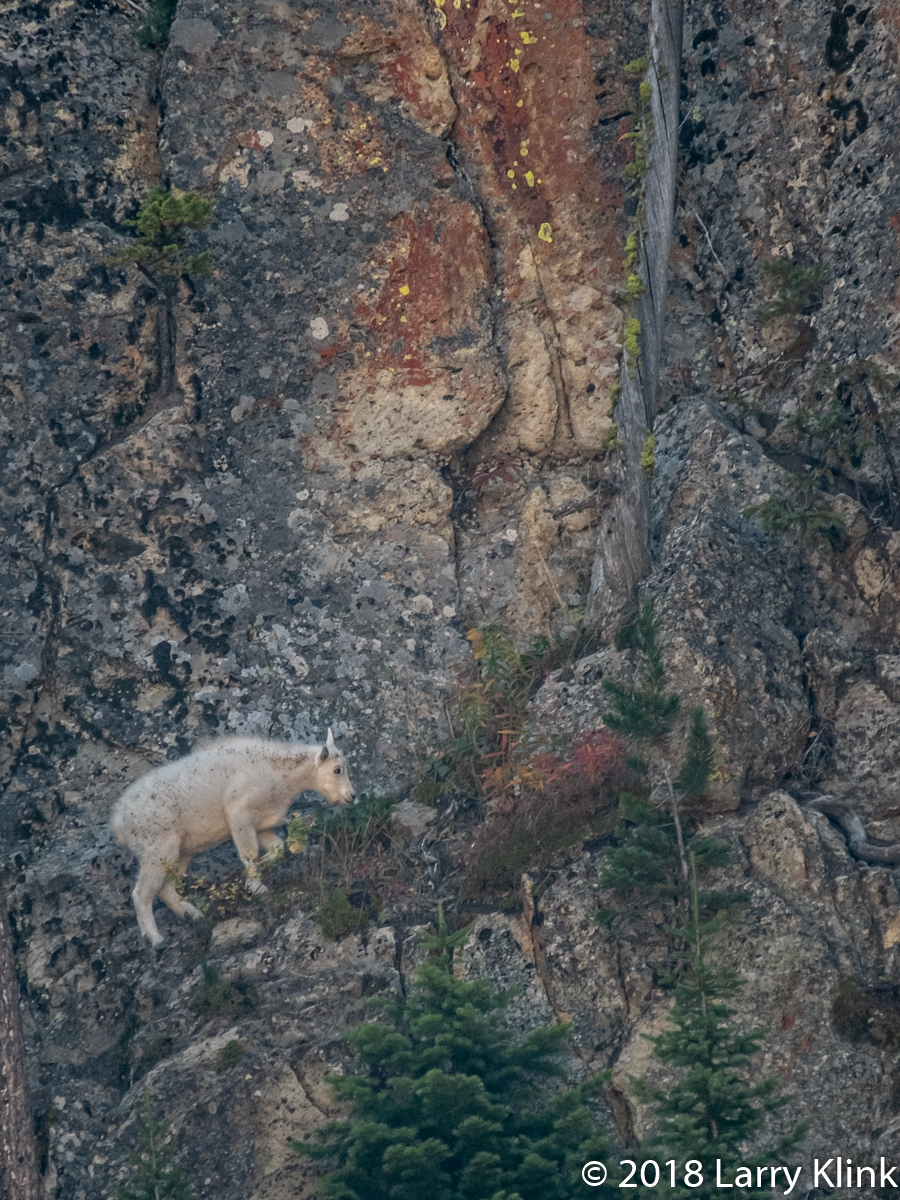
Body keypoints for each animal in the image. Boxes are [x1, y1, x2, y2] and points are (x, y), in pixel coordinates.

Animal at [111, 730, 355, 946]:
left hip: (181, 851)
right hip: (156, 848)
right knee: (141, 893)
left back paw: (193, 915)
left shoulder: (261, 823)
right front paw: (256, 887)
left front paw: (258, 870)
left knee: (166, 888)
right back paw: (156, 939)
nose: (351, 796)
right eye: (337, 770)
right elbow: (249, 851)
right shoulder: (239, 812)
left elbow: (277, 847)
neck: (280, 772)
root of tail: (118, 823)